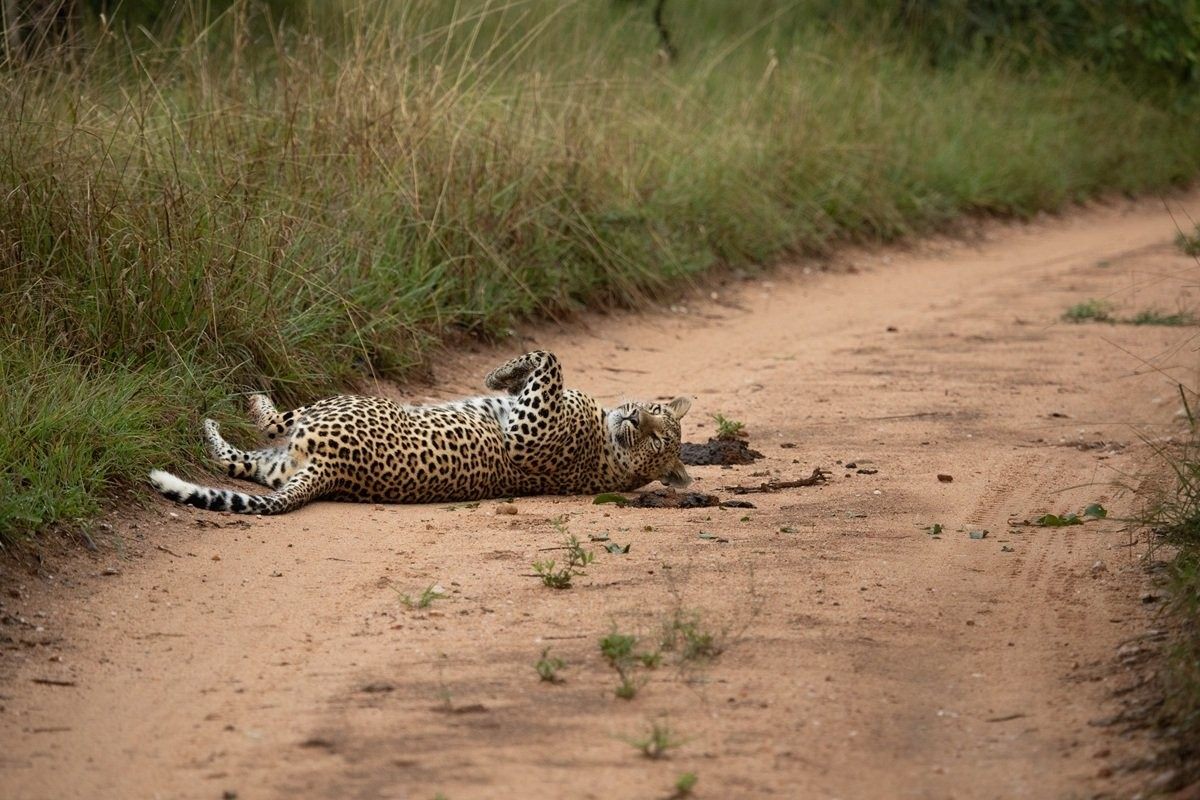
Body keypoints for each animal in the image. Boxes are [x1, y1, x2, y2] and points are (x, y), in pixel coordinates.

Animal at [148, 350, 693, 515]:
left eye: (657, 440)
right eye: (655, 414)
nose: (634, 419)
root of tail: (331, 473)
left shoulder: (528, 430)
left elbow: (550, 359)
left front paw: (496, 374)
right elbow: (541, 366)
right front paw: (503, 376)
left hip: (343, 404)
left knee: (274, 421)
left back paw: (244, 400)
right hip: (278, 463)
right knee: (229, 458)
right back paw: (211, 423)